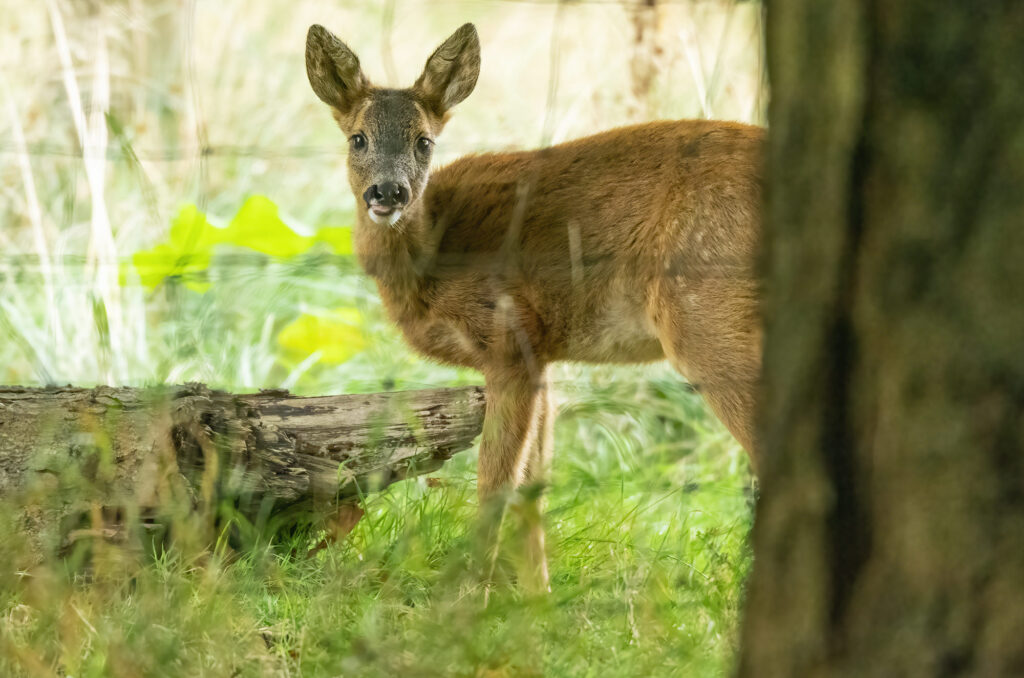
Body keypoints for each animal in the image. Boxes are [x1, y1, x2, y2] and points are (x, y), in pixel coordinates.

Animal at [303, 23, 761, 594]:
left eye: (424, 141)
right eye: (358, 138)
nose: (388, 192)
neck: (434, 256)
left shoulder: (509, 336)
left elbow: (495, 485)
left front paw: (468, 598)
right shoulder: (543, 354)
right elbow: (532, 490)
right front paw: (537, 599)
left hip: (705, 316)